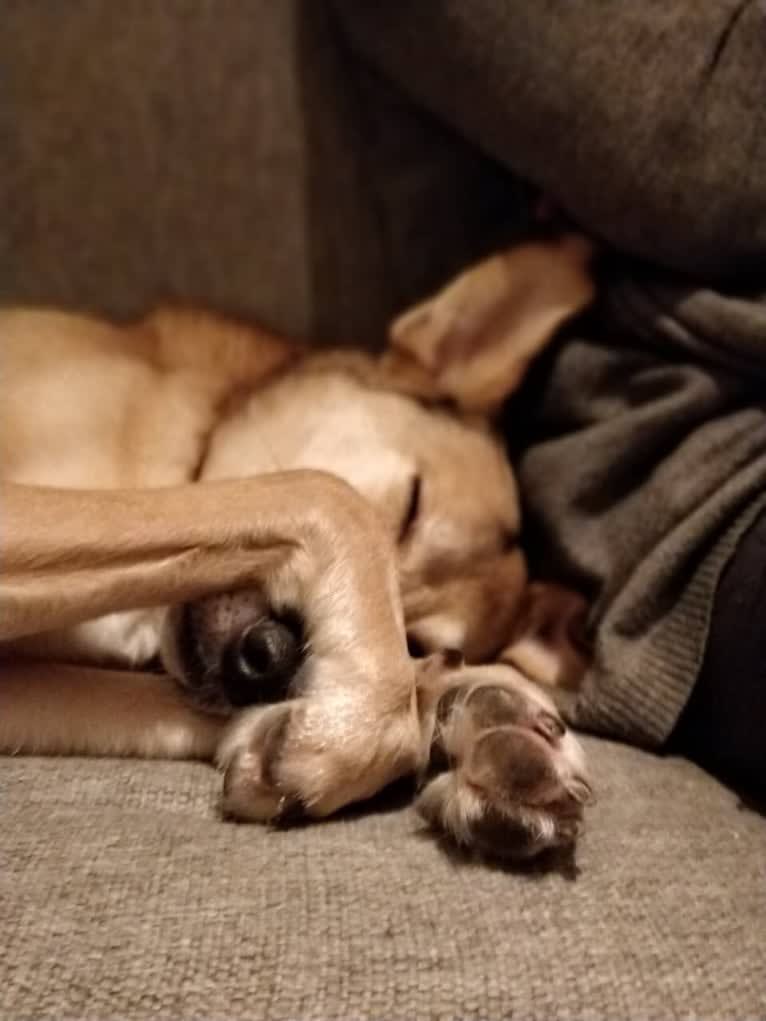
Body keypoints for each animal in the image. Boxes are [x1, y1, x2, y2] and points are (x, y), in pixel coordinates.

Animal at [0, 234, 596, 857]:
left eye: (417, 639)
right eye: (409, 507)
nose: (267, 657)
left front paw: (472, 710)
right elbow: (326, 493)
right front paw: (368, 722)